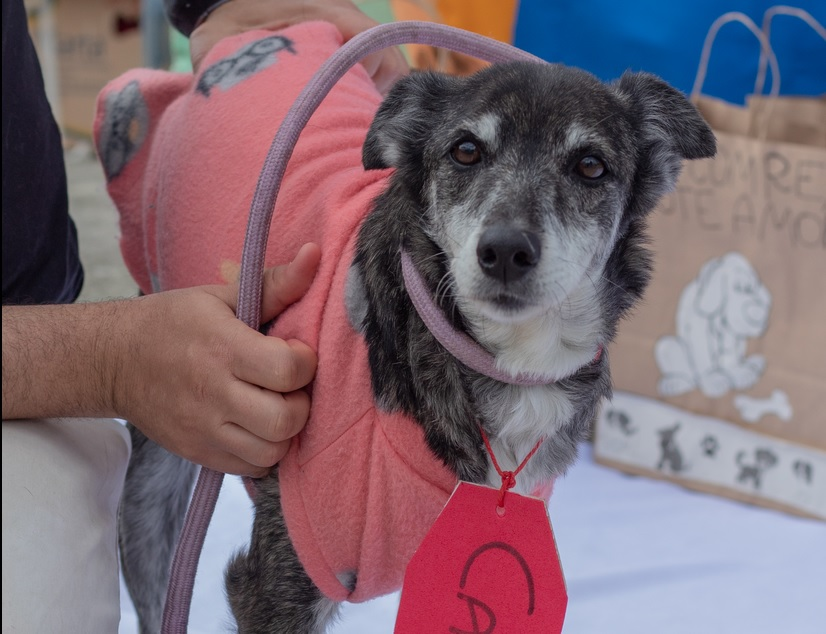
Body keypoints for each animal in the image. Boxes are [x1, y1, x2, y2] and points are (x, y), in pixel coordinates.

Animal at [93, 19, 716, 632]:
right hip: (160, 472)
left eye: (590, 166)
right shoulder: (276, 584)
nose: (505, 251)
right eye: (465, 151)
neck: (499, 364)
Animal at [652, 251, 768, 396]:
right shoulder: (699, 322)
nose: (759, 311)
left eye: (754, 288)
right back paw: (675, 383)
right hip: (669, 348)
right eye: (739, 287)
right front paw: (713, 380)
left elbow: (730, 350)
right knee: (683, 366)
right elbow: (703, 350)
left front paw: (739, 373)